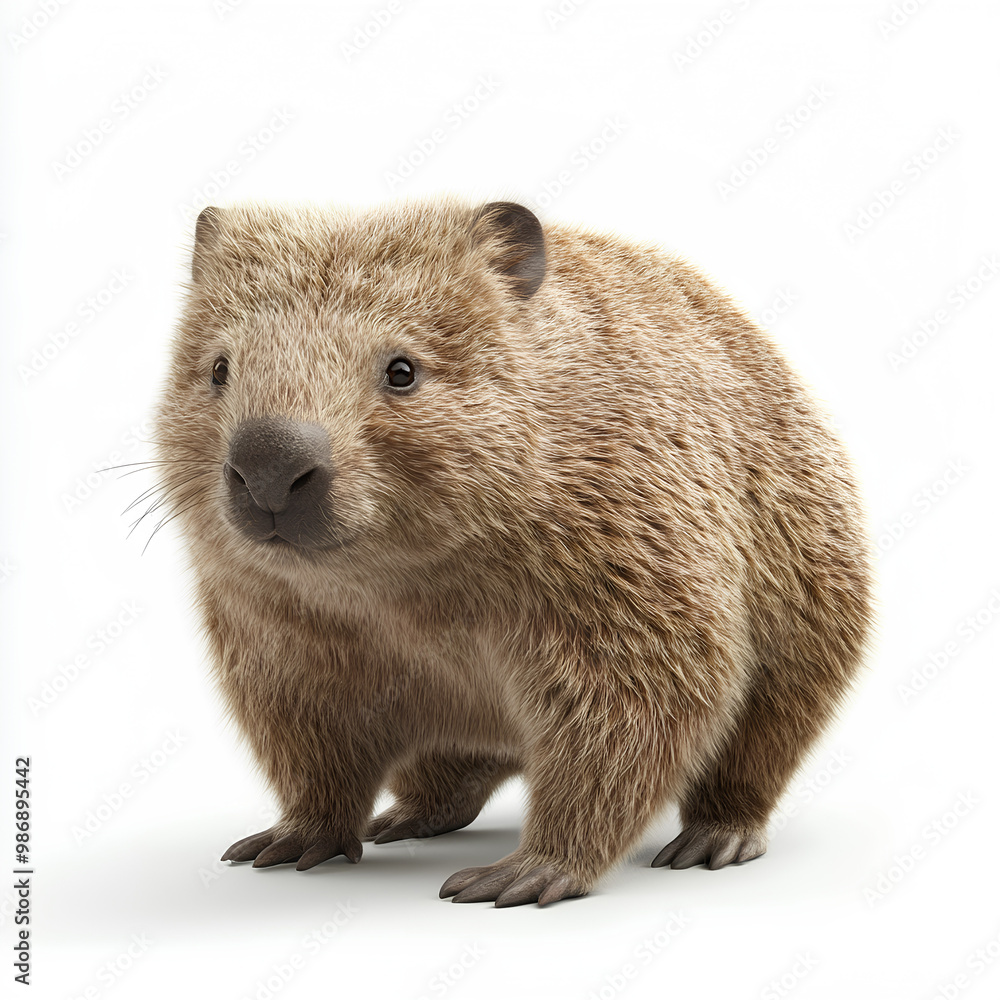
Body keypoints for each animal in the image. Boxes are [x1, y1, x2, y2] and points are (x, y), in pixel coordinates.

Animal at [153, 197, 873, 907]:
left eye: (402, 370)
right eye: (218, 368)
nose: (268, 468)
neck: (401, 589)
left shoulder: (633, 552)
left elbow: (647, 705)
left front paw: (530, 871)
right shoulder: (275, 627)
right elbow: (308, 737)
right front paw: (296, 836)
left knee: (762, 742)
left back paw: (717, 837)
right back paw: (407, 815)